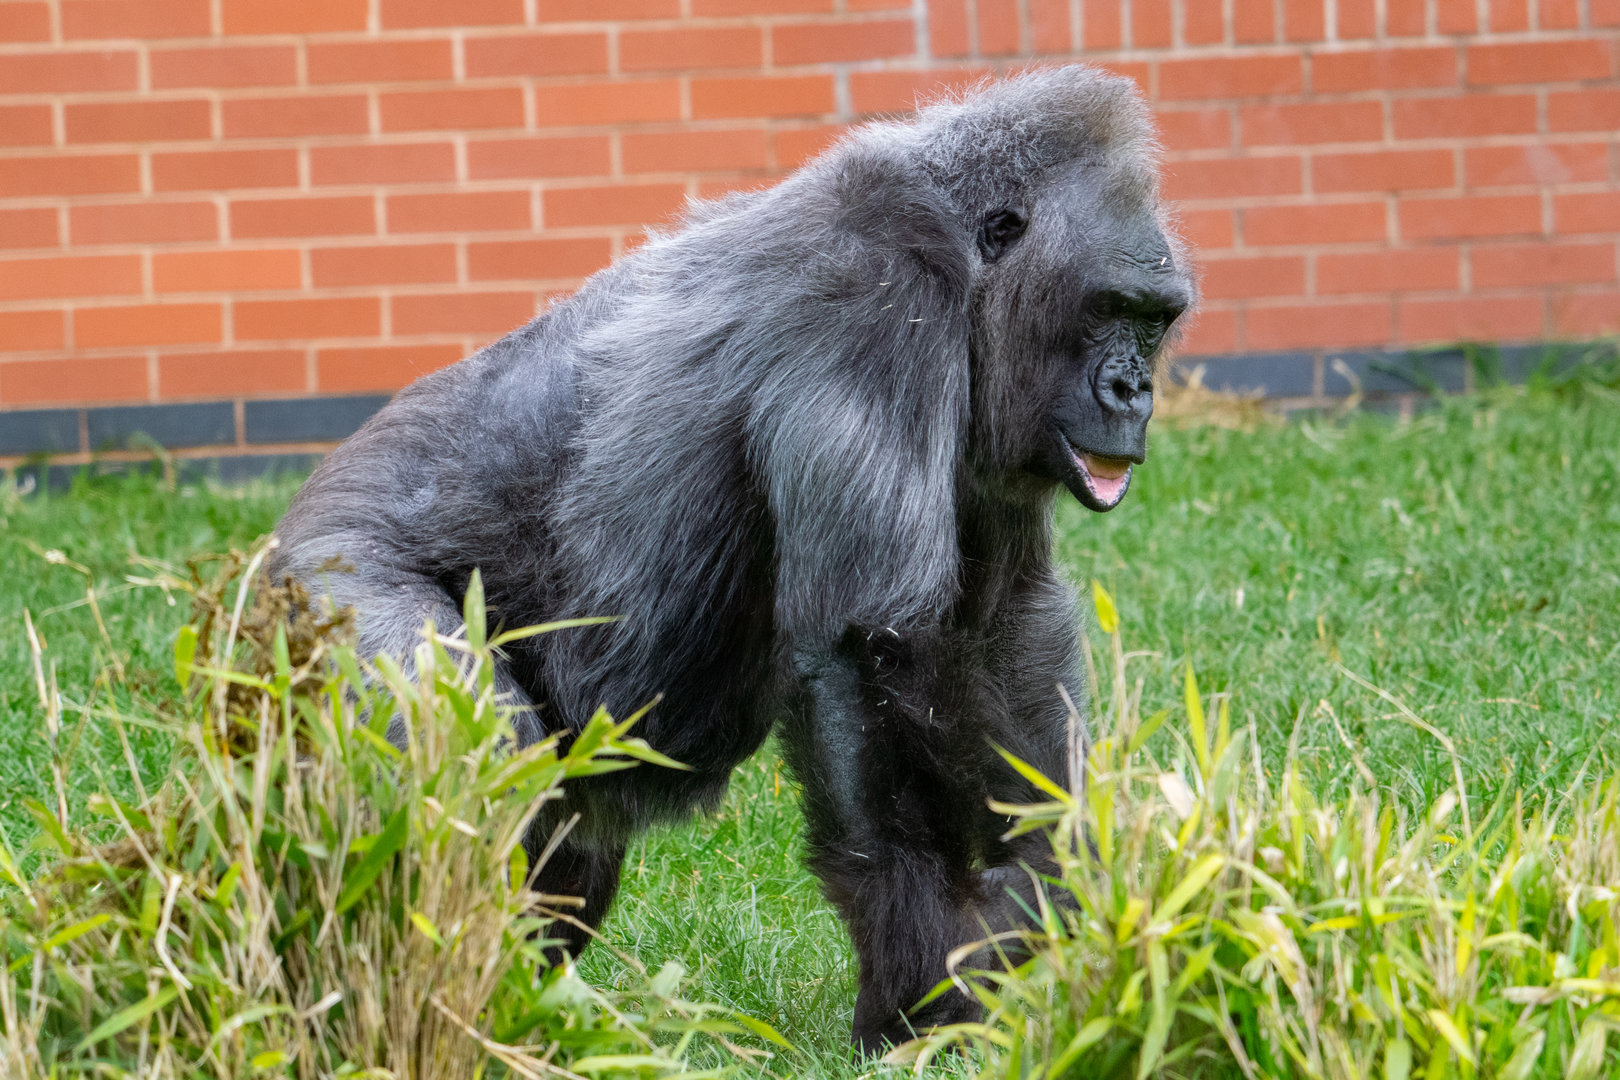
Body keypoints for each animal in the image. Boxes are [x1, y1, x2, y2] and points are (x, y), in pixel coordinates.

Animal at [268, 65, 1194, 1053]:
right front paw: (929, 975)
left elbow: (1001, 632)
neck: (960, 256)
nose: (1133, 389)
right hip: (330, 586)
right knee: (475, 768)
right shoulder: (869, 302)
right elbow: (876, 648)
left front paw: (1056, 894)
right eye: (1110, 309)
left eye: (1155, 320)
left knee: (560, 850)